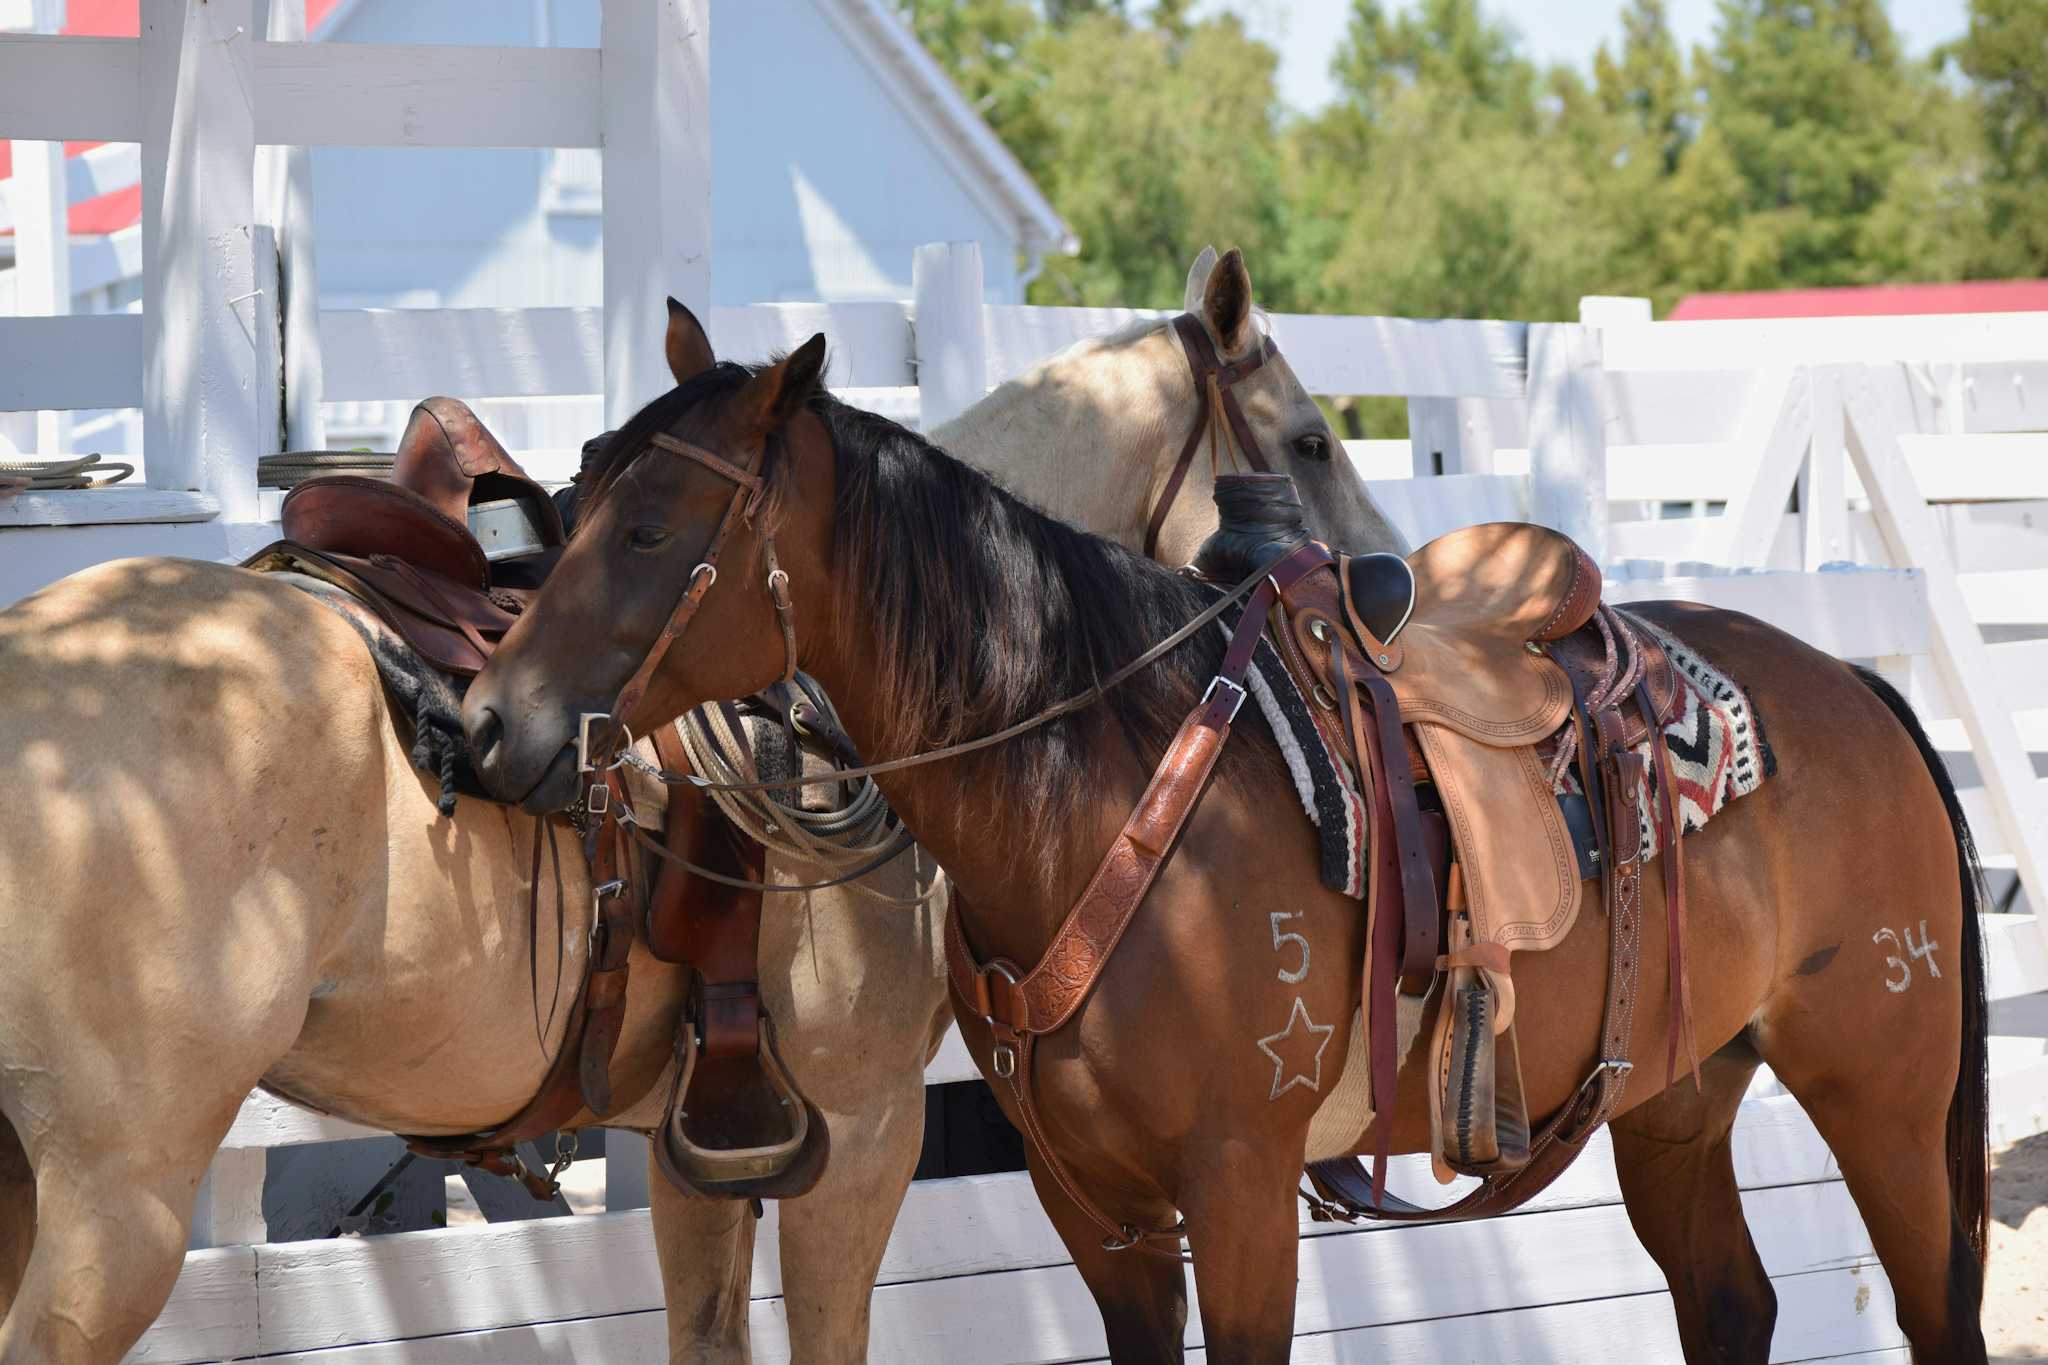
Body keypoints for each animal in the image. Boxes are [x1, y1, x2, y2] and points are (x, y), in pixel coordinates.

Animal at [471, 300, 1990, 1365]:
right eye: (576, 498)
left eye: (654, 531)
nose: (486, 722)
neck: (1103, 796)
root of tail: (1853, 682)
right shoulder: (1098, 1213)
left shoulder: (1242, 1191)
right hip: (1677, 1095)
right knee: (1730, 1307)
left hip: (1886, 1091)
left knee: (1936, 1314)